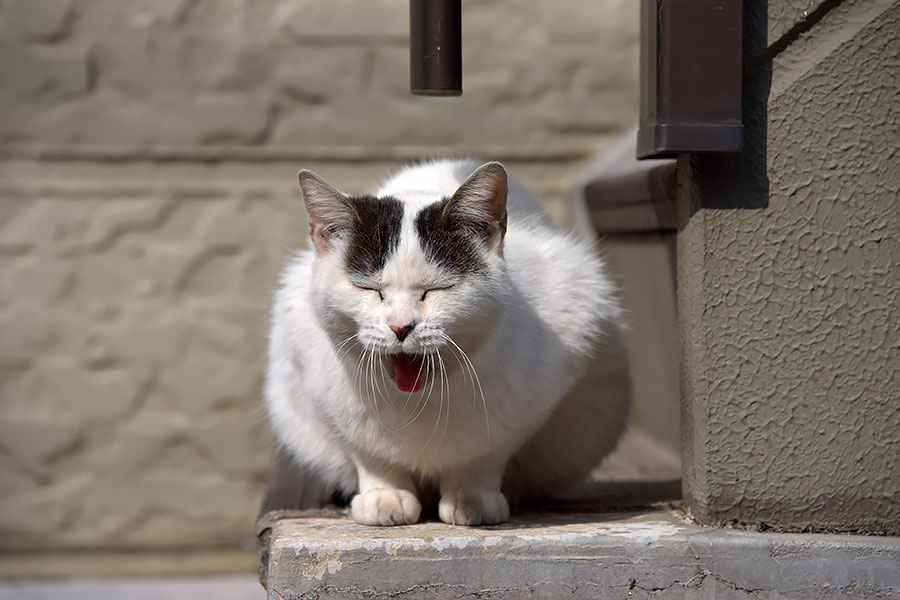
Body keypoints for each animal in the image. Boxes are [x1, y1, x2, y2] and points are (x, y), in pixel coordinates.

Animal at [268, 158, 628, 524]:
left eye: (437, 288)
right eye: (369, 288)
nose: (401, 327)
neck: (417, 402)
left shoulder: (533, 393)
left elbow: (483, 455)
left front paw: (472, 497)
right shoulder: (323, 394)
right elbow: (369, 453)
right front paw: (385, 494)